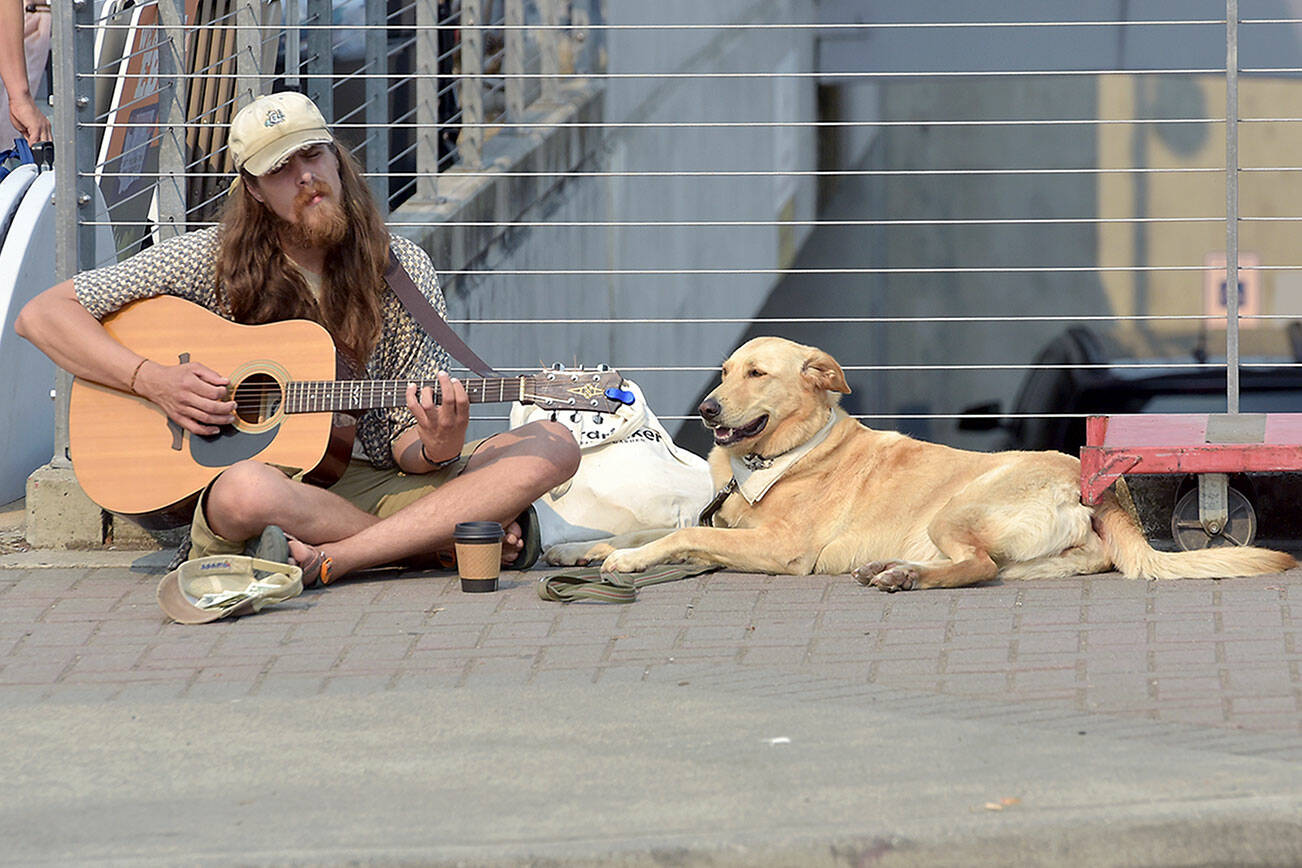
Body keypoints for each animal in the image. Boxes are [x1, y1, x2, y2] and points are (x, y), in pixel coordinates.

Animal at [596, 335, 1291, 590]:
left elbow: (681, 534)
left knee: (976, 567)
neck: (784, 458)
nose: (707, 409)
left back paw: (905, 578)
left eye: (757, 374)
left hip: (957, 509)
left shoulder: (782, 550)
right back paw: (896, 569)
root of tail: (1090, 483)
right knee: (987, 567)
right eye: (723, 371)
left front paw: (626, 562)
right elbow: (657, 529)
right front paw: (595, 550)